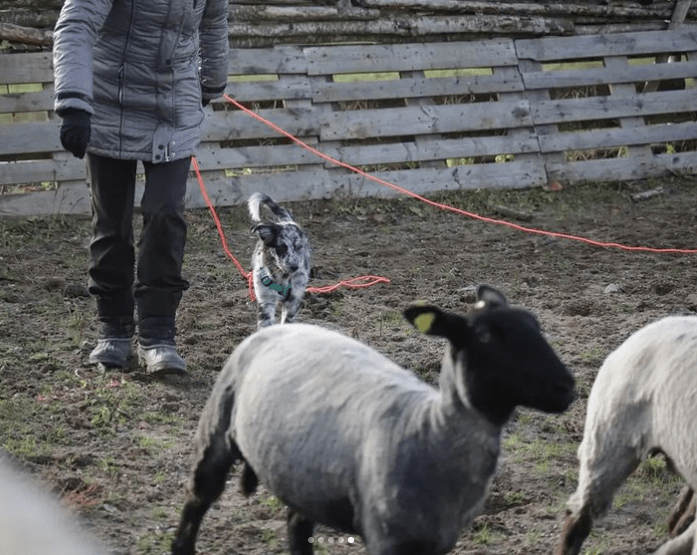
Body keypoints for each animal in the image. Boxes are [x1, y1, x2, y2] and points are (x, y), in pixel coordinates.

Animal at [172, 285, 576, 555]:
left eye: (537, 326)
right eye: (487, 335)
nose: (567, 386)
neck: (429, 428)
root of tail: (282, 325)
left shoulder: (436, 541)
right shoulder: (386, 537)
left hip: (306, 475)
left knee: (296, 526)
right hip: (217, 430)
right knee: (196, 501)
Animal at [248, 192, 312, 328]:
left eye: (299, 247)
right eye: (282, 248)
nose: (295, 267)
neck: (282, 277)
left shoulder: (293, 301)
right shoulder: (266, 301)